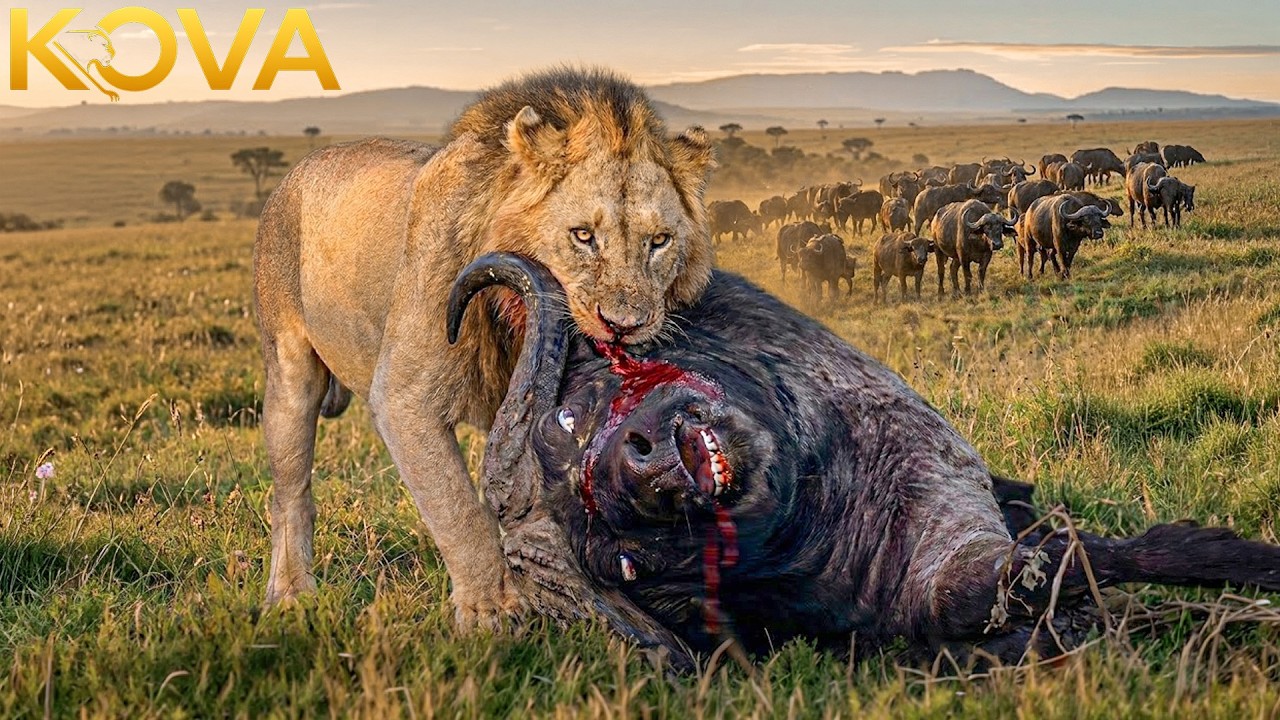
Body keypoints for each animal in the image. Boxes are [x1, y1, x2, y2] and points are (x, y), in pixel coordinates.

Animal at [253, 67, 716, 629]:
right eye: (583, 236)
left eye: (660, 241)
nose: (624, 325)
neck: (513, 323)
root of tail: (298, 169)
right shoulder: (405, 398)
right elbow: (458, 509)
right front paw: (493, 608)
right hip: (288, 365)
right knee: (291, 491)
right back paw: (291, 593)